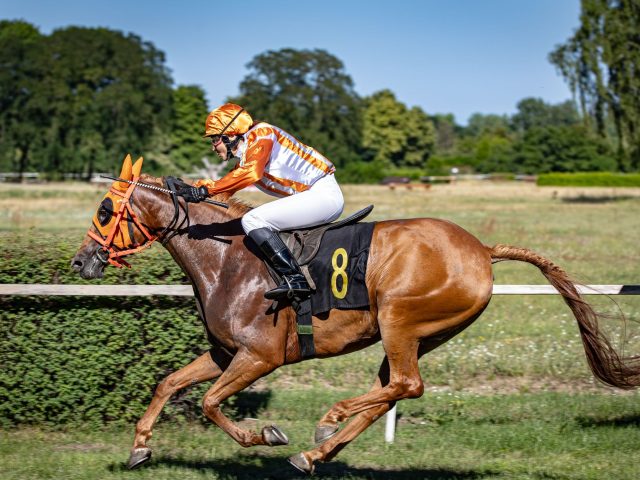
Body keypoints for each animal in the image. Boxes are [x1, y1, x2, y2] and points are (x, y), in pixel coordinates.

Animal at [71, 155, 640, 474]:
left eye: (104, 209)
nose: (80, 261)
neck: (229, 258)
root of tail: (481, 249)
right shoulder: (225, 353)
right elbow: (168, 383)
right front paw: (139, 449)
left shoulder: (259, 357)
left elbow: (211, 403)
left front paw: (264, 436)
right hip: (418, 334)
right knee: (392, 388)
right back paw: (316, 452)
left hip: (399, 319)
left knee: (407, 385)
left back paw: (326, 423)